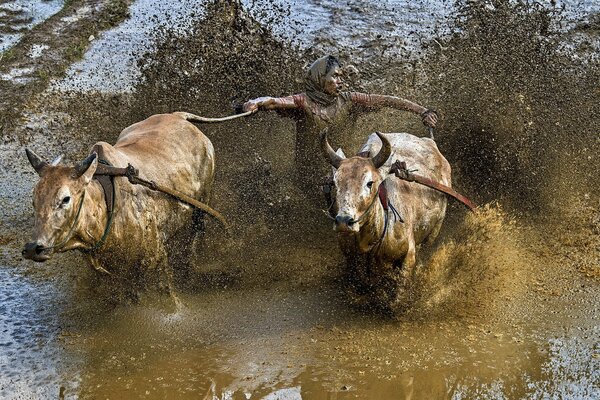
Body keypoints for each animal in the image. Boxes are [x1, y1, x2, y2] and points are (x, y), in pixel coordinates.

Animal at [22, 114, 216, 296]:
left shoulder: (155, 261)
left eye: (65, 199)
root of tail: (179, 116)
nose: (32, 248)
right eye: (34, 200)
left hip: (202, 206)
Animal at [324, 131, 450, 312]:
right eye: (335, 182)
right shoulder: (350, 256)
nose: (343, 221)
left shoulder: (409, 255)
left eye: (369, 183)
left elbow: (397, 297)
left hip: (434, 231)